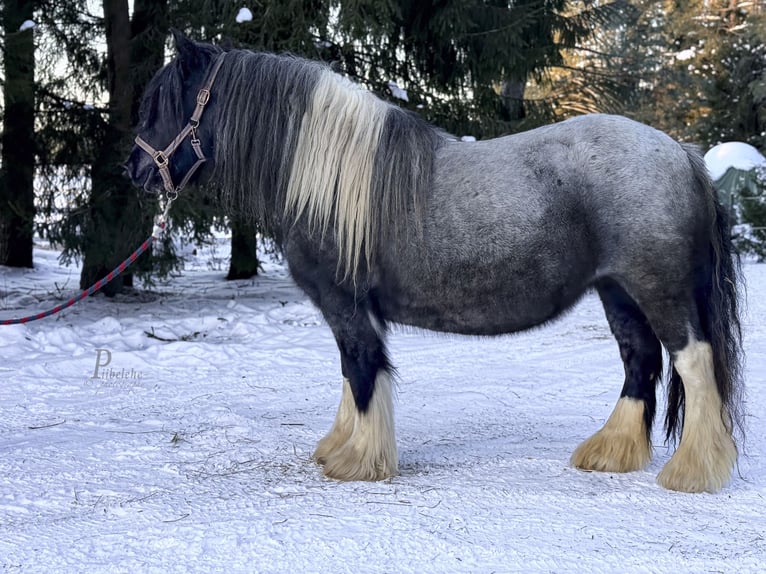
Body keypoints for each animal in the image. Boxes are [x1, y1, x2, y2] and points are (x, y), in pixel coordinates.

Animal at [125, 33, 745, 493]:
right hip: (617, 290)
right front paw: (340, 448)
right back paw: (611, 452)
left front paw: (358, 461)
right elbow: (352, 372)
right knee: (640, 359)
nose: (134, 170)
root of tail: (680, 152)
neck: (329, 180)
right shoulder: (349, 309)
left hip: (658, 287)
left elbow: (362, 369)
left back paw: (692, 472)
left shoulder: (345, 304)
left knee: (693, 360)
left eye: (161, 106)